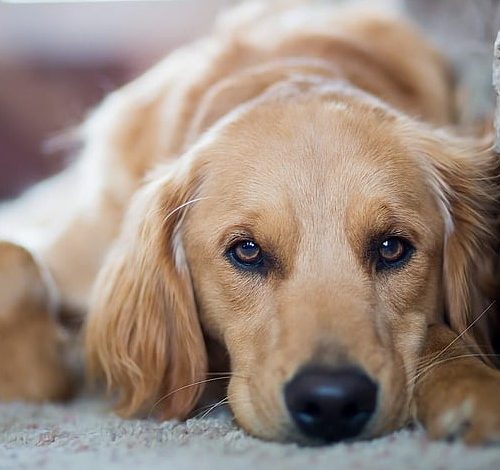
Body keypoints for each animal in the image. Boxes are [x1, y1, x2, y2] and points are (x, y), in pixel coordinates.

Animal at [0, 1, 500, 446]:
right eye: (247, 250)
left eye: (392, 247)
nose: (332, 402)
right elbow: (19, 261)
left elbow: (443, 333)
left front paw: (470, 383)